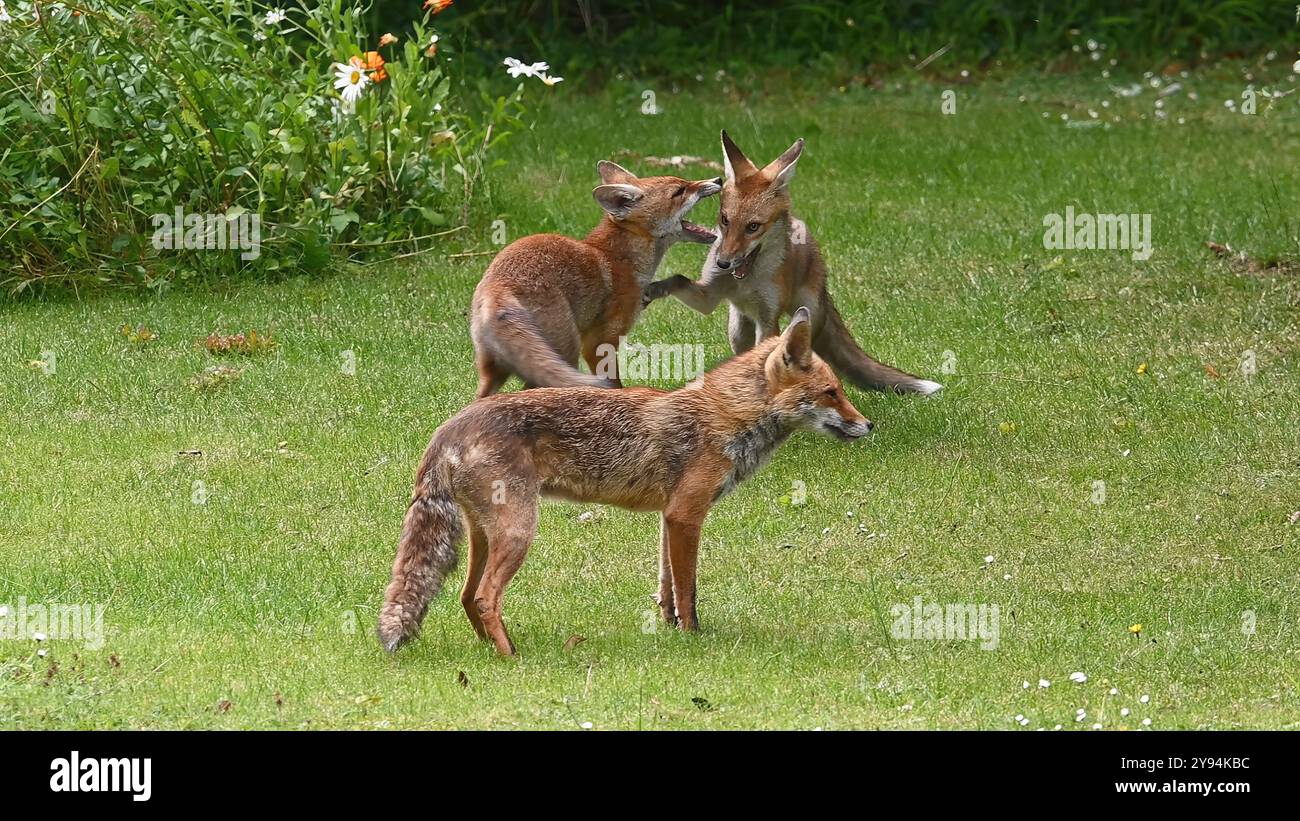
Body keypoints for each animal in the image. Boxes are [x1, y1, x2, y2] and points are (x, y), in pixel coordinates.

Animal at [467, 160, 722, 397]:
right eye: (680, 190)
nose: (719, 179)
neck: (620, 259)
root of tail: (497, 287)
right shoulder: (598, 343)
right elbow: (614, 385)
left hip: (495, 371)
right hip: (565, 352)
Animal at [642, 129, 941, 394]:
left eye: (753, 227)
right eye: (725, 220)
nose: (724, 262)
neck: (746, 282)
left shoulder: (768, 318)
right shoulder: (709, 296)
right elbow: (679, 279)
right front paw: (652, 289)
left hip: (803, 314)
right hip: (736, 329)